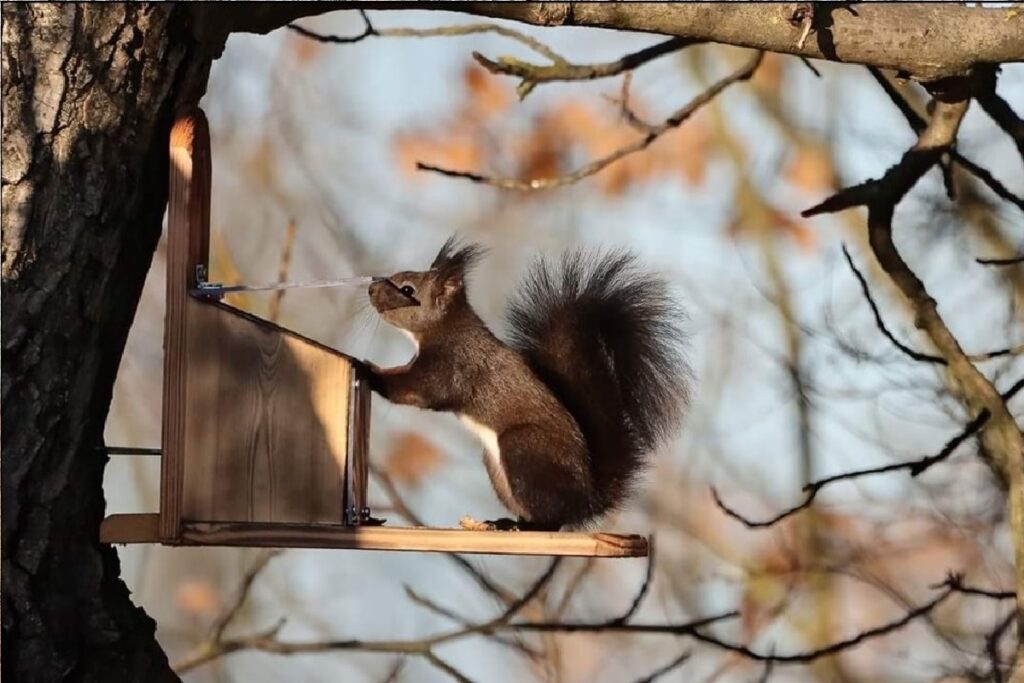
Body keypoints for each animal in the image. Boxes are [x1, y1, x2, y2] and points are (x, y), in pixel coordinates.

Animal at [364, 237, 692, 532]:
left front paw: (368, 372)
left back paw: (525, 527)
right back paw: (506, 523)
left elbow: (423, 390)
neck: (445, 328)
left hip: (524, 448)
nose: (370, 288)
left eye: (408, 289)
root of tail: (586, 500)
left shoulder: (454, 365)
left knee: (553, 521)